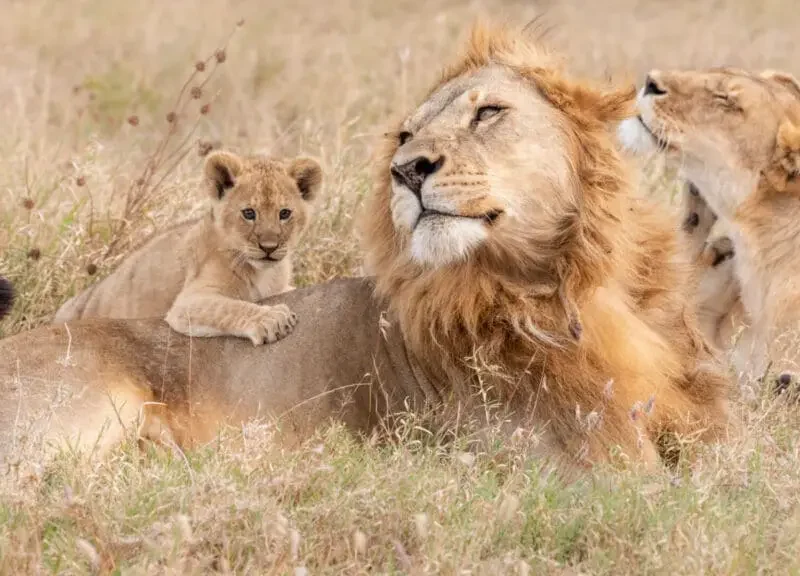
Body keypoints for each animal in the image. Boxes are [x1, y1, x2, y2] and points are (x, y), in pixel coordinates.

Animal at [53, 151, 322, 345]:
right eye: (248, 213)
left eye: (284, 213)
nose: (269, 247)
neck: (265, 272)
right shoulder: (188, 302)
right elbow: (230, 307)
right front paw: (273, 319)